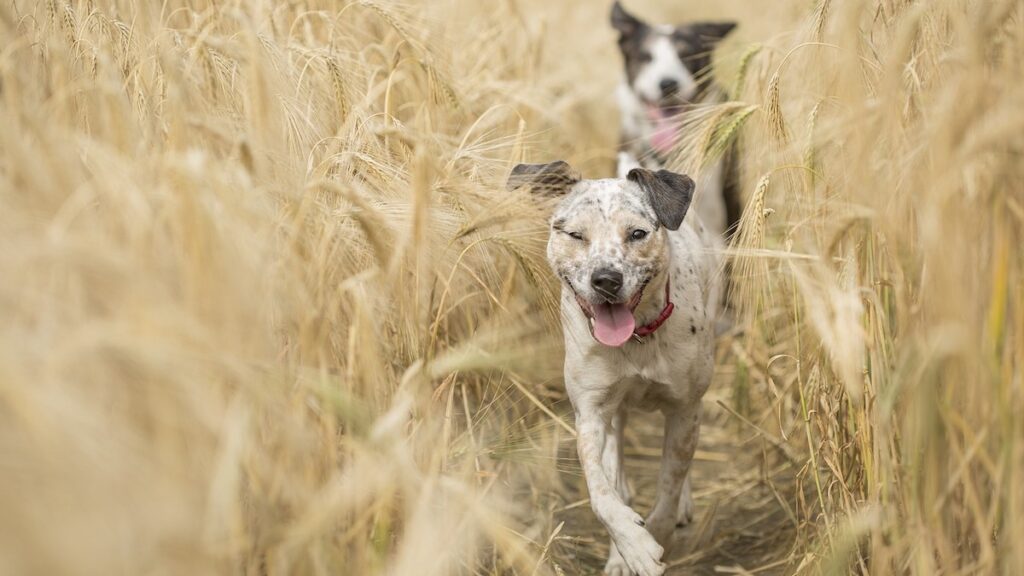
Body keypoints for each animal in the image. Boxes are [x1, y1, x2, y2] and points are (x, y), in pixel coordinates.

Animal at [509, 157, 720, 573]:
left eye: (637, 233)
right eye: (575, 235)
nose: (605, 279)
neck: (637, 339)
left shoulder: (684, 408)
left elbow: (669, 489)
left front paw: (655, 537)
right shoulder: (591, 412)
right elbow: (601, 493)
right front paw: (631, 547)